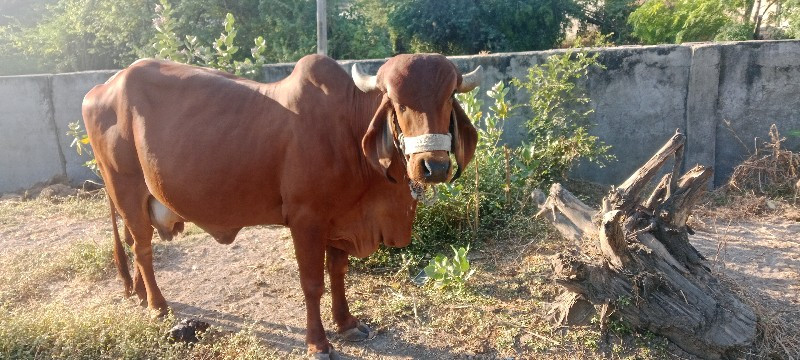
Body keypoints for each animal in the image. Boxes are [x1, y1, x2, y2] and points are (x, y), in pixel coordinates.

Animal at [83, 53, 476, 358]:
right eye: (397, 102)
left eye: (447, 97)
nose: (433, 166)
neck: (348, 129)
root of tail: (101, 88)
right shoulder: (306, 219)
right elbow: (312, 283)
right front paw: (318, 344)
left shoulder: (340, 218)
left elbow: (338, 272)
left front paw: (346, 323)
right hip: (126, 188)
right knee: (143, 248)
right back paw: (157, 306)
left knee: (135, 245)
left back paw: (139, 294)